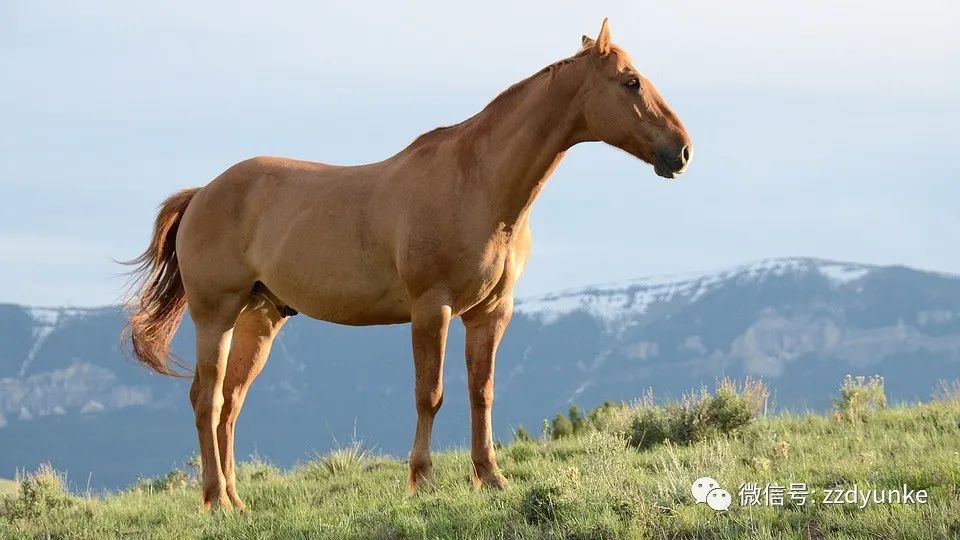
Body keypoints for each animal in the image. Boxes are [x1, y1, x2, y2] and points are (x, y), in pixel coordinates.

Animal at [125, 20, 688, 510]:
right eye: (630, 81)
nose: (681, 151)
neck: (477, 184)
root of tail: (203, 193)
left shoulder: (491, 313)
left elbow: (481, 393)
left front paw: (490, 478)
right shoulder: (431, 309)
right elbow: (430, 395)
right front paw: (422, 481)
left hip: (258, 319)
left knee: (230, 403)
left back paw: (237, 501)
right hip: (216, 315)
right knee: (207, 399)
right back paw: (216, 501)